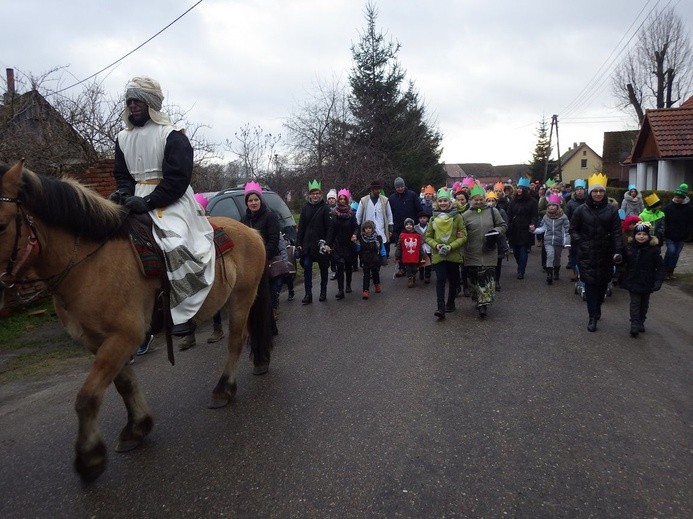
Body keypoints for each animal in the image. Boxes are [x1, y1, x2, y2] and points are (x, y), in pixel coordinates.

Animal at [0, 161, 274, 484]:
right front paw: (137, 427)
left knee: (236, 342)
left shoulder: (124, 336)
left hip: (241, 299)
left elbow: (87, 397)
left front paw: (90, 457)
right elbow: (124, 384)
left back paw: (224, 389)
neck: (89, 261)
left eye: (2, 225)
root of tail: (251, 231)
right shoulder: (101, 341)